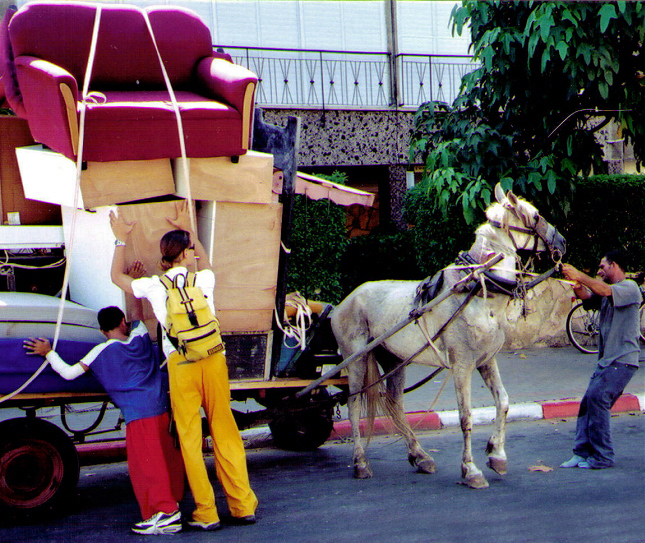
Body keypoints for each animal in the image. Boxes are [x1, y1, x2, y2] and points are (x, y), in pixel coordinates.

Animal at [330, 185, 568, 490]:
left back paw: (420, 456)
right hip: (356, 360)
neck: (479, 289)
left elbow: (503, 402)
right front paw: (471, 470)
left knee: (395, 405)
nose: (562, 242)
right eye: (535, 215)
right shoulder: (462, 365)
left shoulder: (486, 360)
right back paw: (361, 462)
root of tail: (341, 304)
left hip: (394, 361)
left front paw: (497, 454)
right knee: (354, 404)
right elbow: (465, 417)